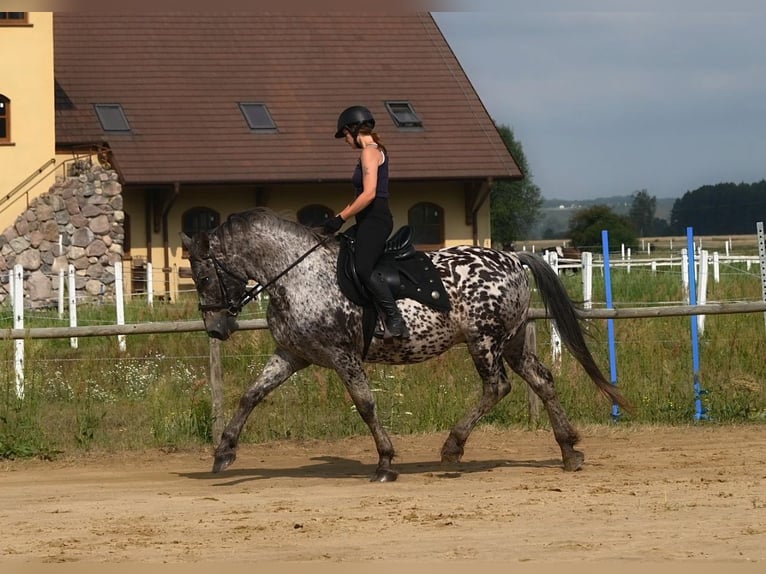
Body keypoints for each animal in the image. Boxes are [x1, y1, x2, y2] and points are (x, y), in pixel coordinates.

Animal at [181, 208, 630, 482]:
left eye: (201, 277)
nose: (216, 329)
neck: (296, 274)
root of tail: (515, 259)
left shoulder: (342, 355)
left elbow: (365, 404)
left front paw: (384, 461)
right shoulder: (293, 355)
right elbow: (251, 395)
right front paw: (223, 452)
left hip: (483, 340)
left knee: (496, 386)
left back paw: (453, 447)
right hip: (512, 340)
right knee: (542, 380)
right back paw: (569, 451)